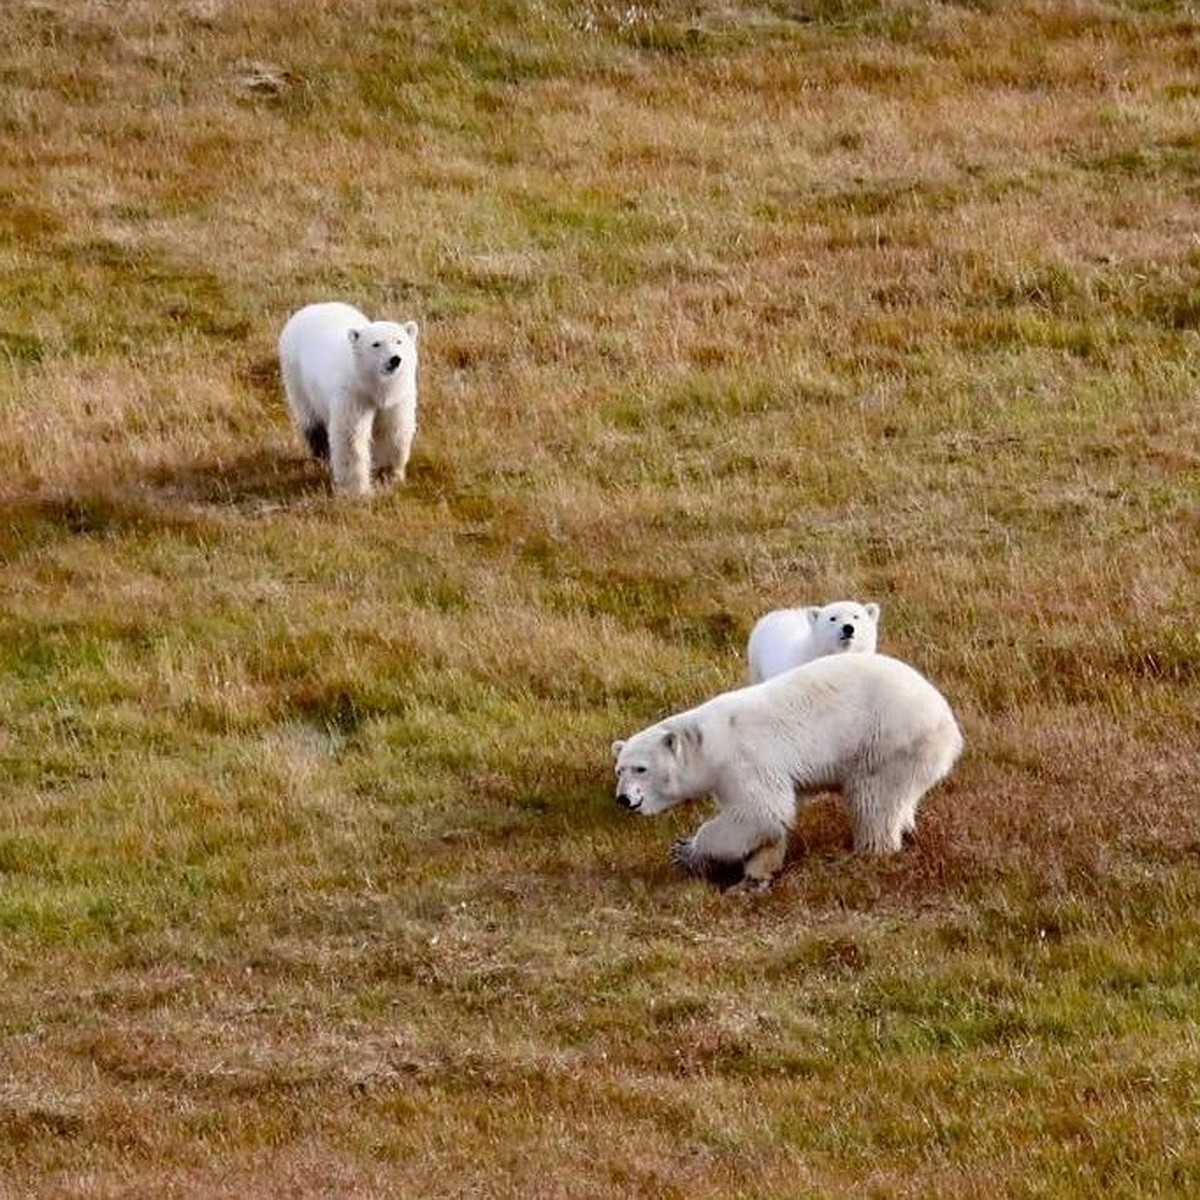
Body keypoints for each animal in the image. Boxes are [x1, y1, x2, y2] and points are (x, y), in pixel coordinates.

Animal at [278, 304, 420, 501]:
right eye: (376, 344)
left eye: (399, 341)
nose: (395, 359)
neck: (373, 387)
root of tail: (310, 308)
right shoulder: (352, 395)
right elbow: (351, 437)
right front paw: (356, 490)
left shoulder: (397, 397)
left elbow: (392, 430)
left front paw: (389, 477)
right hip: (296, 376)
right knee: (311, 419)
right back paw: (322, 456)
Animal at [614, 652, 960, 888]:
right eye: (619, 770)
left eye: (641, 769)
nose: (623, 799)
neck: (709, 742)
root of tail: (949, 725)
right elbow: (769, 823)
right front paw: (755, 875)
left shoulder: (745, 760)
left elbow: (759, 813)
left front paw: (686, 851)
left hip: (886, 741)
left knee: (873, 799)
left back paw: (867, 851)